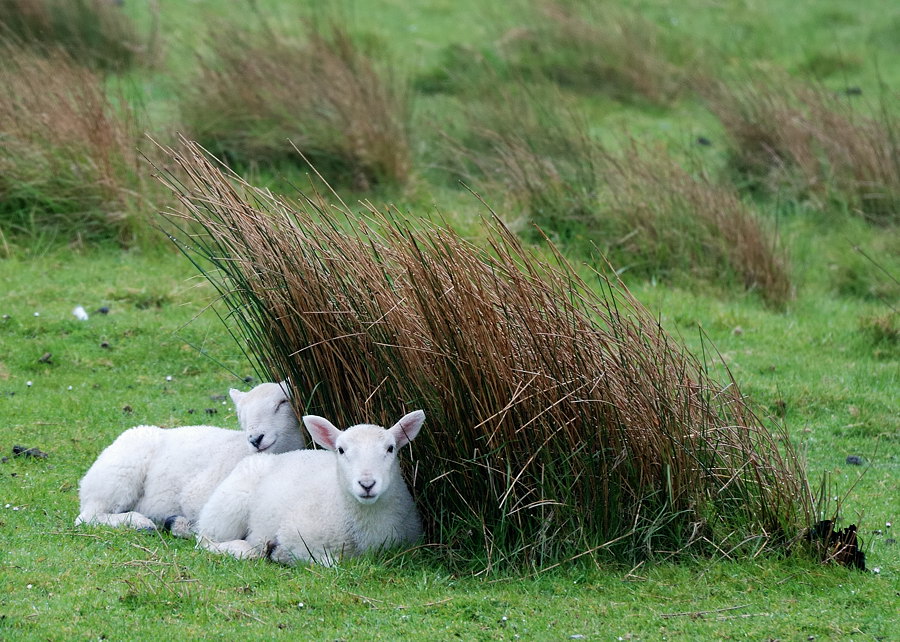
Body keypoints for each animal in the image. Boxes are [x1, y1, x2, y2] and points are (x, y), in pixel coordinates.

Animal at [75, 381, 305, 534]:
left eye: (282, 402)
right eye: (242, 414)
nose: (255, 439)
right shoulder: (196, 495)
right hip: (119, 474)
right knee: (88, 516)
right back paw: (140, 522)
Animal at [195, 409, 425, 566]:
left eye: (390, 448)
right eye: (341, 450)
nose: (366, 484)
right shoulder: (293, 535)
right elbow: (331, 563)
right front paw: (279, 554)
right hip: (229, 505)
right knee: (205, 540)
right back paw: (243, 549)